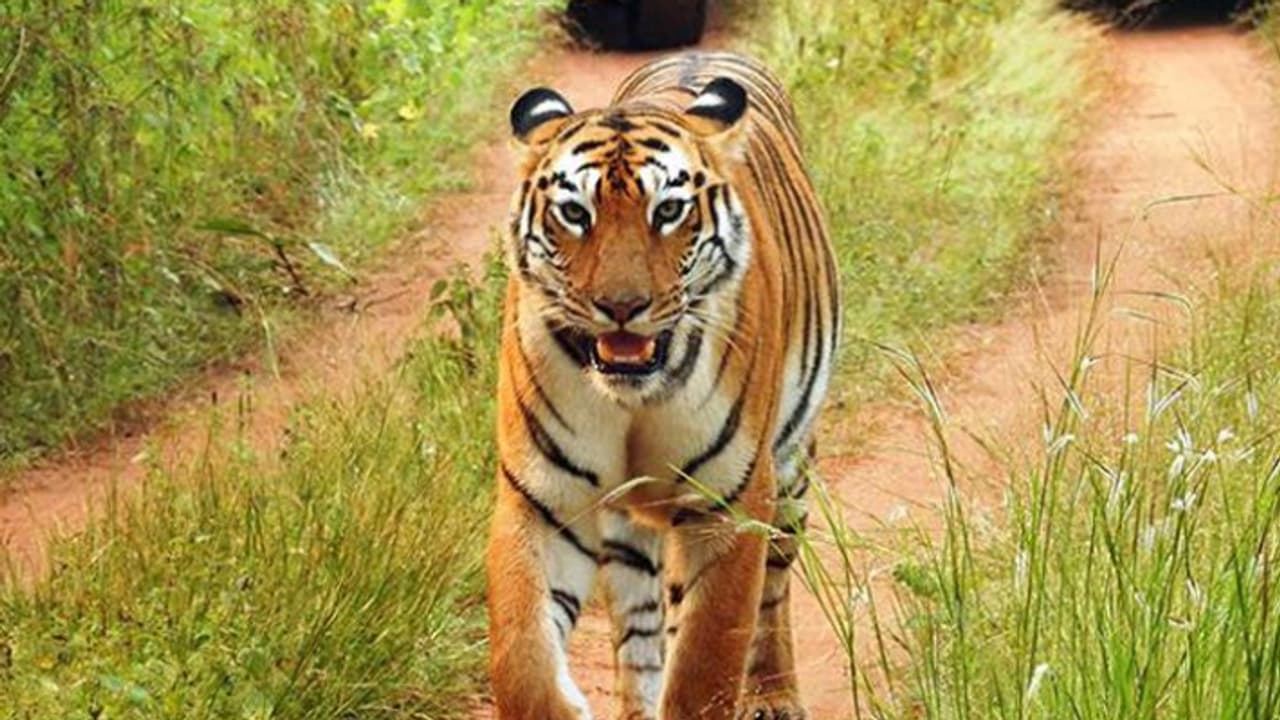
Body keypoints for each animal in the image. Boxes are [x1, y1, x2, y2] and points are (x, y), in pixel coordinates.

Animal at [486, 51, 840, 720]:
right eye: (576, 213)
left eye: (668, 212)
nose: (622, 307)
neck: (633, 399)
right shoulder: (543, 501)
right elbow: (524, 661)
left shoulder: (727, 504)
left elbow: (705, 663)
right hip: (627, 529)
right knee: (640, 628)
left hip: (789, 472)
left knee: (773, 590)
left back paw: (774, 695)